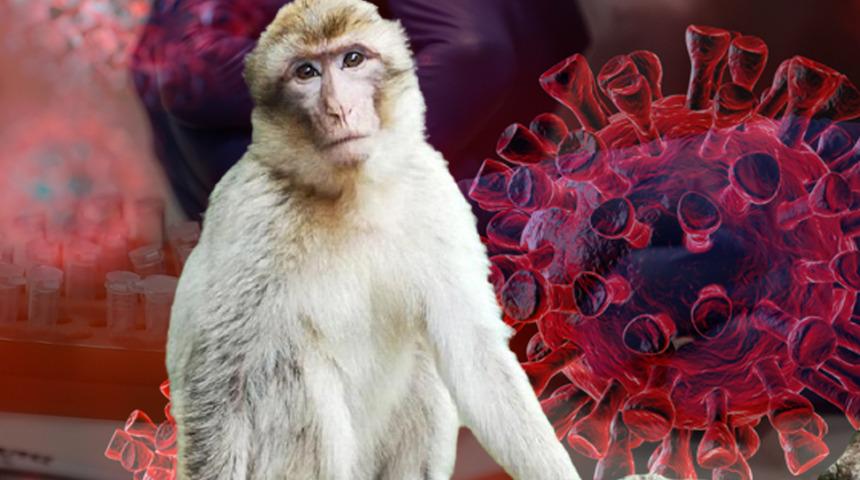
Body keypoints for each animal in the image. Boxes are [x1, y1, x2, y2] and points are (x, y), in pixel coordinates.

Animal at [165, 0, 582, 479]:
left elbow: (475, 357)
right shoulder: (249, 215)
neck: (354, 195)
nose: (340, 108)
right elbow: (218, 374)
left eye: (352, 59)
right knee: (296, 374)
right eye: (306, 72)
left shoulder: (431, 192)